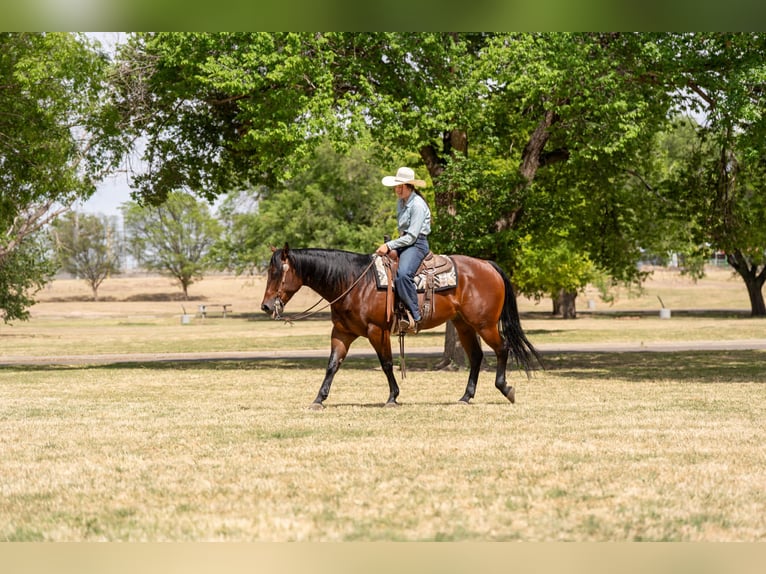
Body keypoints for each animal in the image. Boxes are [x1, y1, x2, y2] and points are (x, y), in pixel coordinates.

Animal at [260, 243, 542, 409]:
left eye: (277, 273)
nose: (265, 306)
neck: (353, 282)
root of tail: (487, 265)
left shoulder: (377, 331)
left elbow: (386, 363)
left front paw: (393, 397)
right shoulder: (342, 332)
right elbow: (332, 365)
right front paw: (318, 399)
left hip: (485, 324)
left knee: (502, 348)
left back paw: (505, 388)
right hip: (463, 324)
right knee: (476, 356)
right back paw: (465, 397)